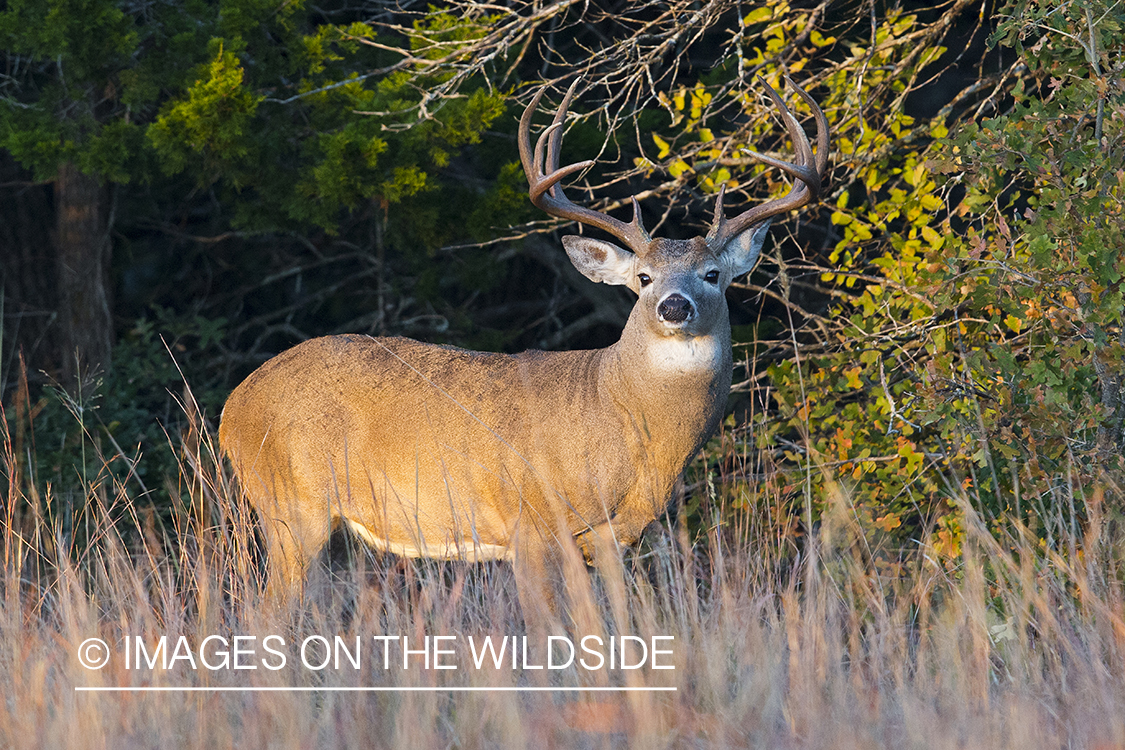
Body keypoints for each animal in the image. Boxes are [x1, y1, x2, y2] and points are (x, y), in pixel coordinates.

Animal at [219, 76, 832, 625]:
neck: (622, 420)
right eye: (643, 277)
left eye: (712, 274)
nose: (674, 306)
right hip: (292, 506)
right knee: (267, 612)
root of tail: (233, 407)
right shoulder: (531, 522)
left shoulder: (610, 540)